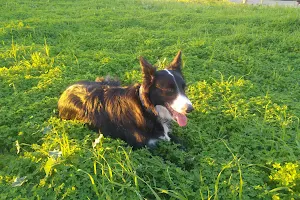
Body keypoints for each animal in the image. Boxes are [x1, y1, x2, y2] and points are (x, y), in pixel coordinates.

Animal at [58, 51, 195, 148]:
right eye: (169, 90)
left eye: (184, 87)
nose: (190, 109)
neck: (146, 109)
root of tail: (65, 91)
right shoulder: (144, 147)